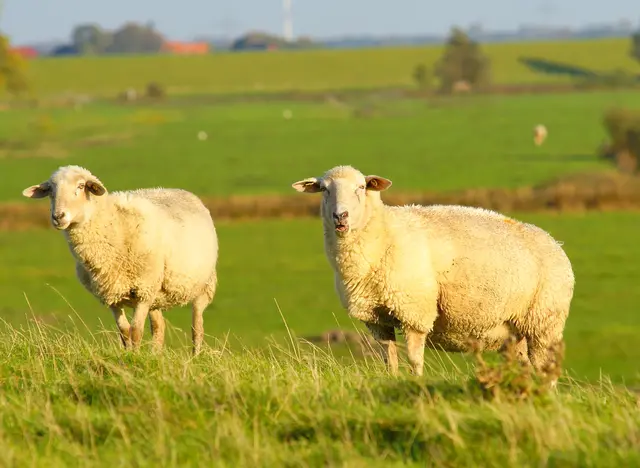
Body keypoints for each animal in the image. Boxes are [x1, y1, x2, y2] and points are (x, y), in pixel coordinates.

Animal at [22, 166, 219, 352]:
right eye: (50, 190)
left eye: (81, 186)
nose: (58, 217)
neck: (113, 225)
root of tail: (182, 191)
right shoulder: (112, 293)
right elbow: (124, 331)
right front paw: (128, 354)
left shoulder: (143, 291)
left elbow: (136, 330)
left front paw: (136, 357)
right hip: (156, 293)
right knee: (159, 327)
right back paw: (155, 355)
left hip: (202, 286)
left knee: (197, 327)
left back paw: (195, 356)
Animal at [292, 165, 576, 380]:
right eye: (324, 189)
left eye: (361, 187)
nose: (340, 216)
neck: (383, 235)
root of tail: (555, 243)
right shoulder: (377, 319)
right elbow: (389, 360)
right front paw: (392, 381)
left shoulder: (414, 311)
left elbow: (414, 359)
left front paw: (416, 384)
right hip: (515, 331)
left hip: (545, 322)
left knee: (545, 368)